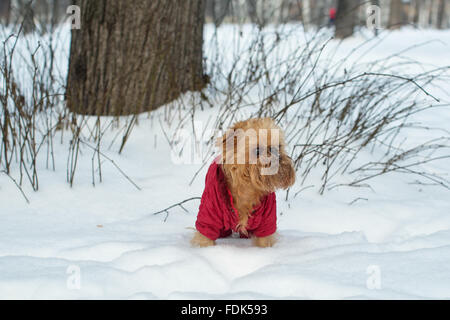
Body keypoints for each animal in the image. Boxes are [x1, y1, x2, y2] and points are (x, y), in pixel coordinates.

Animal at [190, 117, 296, 248]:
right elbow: (206, 236)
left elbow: (264, 240)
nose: (275, 153)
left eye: (279, 146)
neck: (248, 186)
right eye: (257, 150)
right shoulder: (209, 216)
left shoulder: (267, 221)